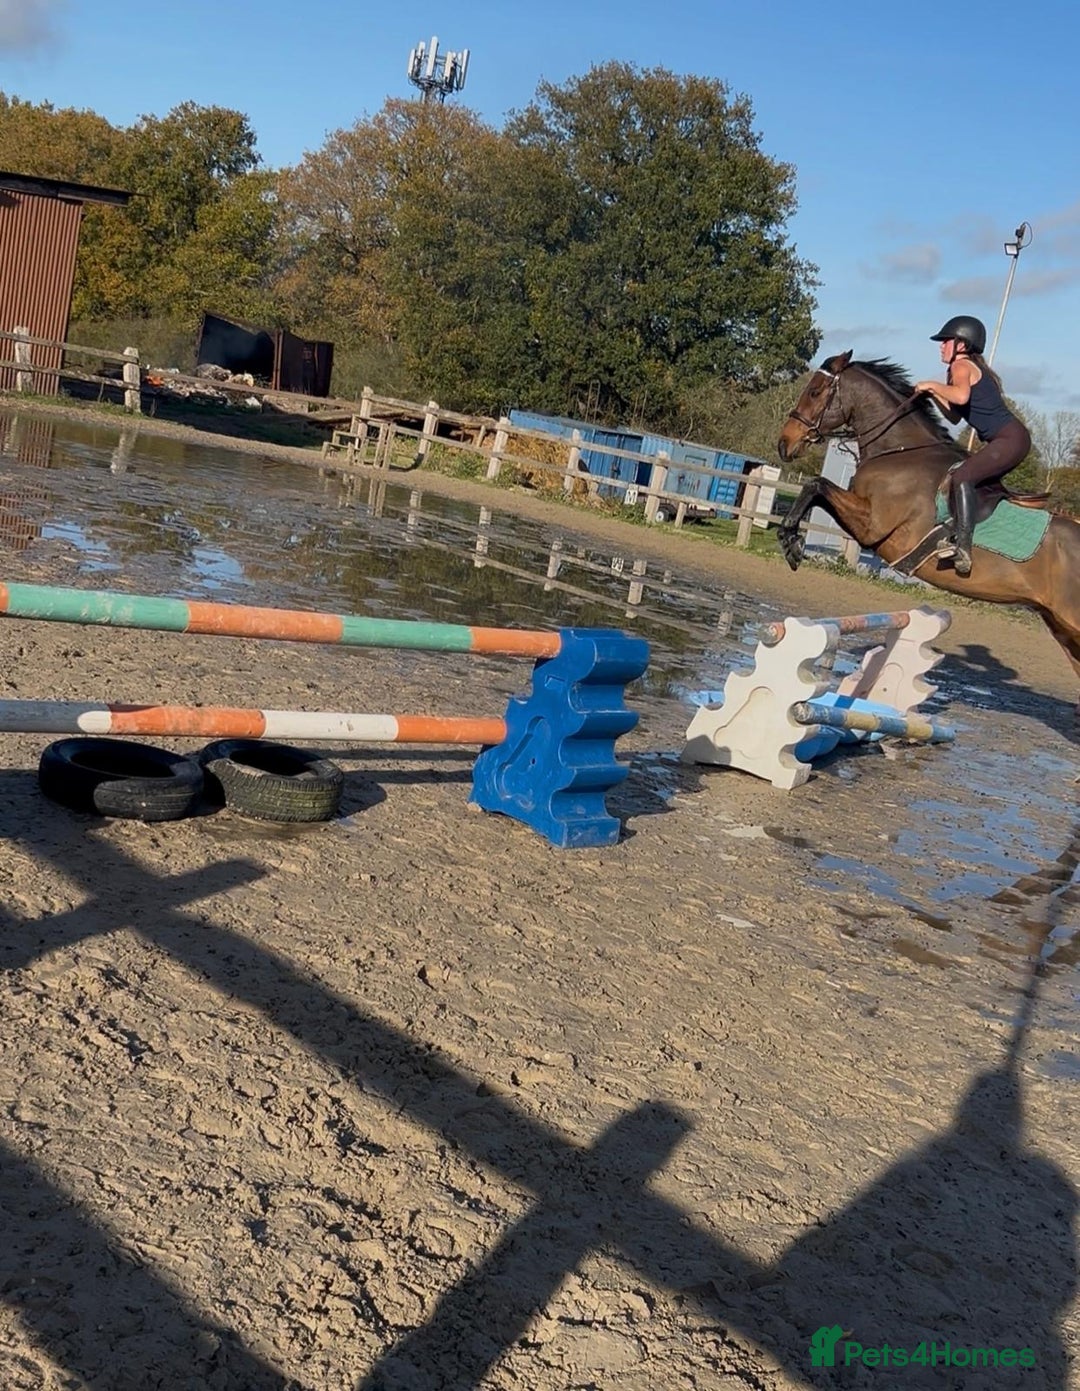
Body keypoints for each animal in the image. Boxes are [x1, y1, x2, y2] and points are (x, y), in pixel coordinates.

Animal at [777, 351, 1080, 719]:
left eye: (816, 391)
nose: (784, 444)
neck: (901, 451)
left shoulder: (872, 526)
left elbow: (815, 485)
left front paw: (791, 542)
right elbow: (817, 491)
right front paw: (792, 541)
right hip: (1064, 630)